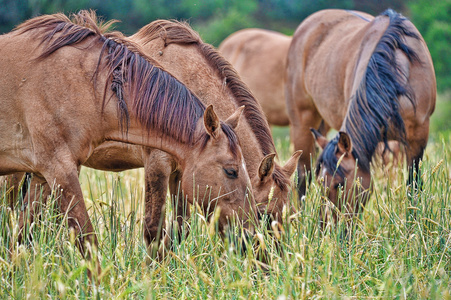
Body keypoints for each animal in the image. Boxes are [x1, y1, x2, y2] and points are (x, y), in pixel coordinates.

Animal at [286, 9, 438, 221]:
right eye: (322, 184)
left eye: (340, 184)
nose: (328, 226)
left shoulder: (418, 138)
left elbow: (413, 184)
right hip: (302, 121)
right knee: (302, 176)